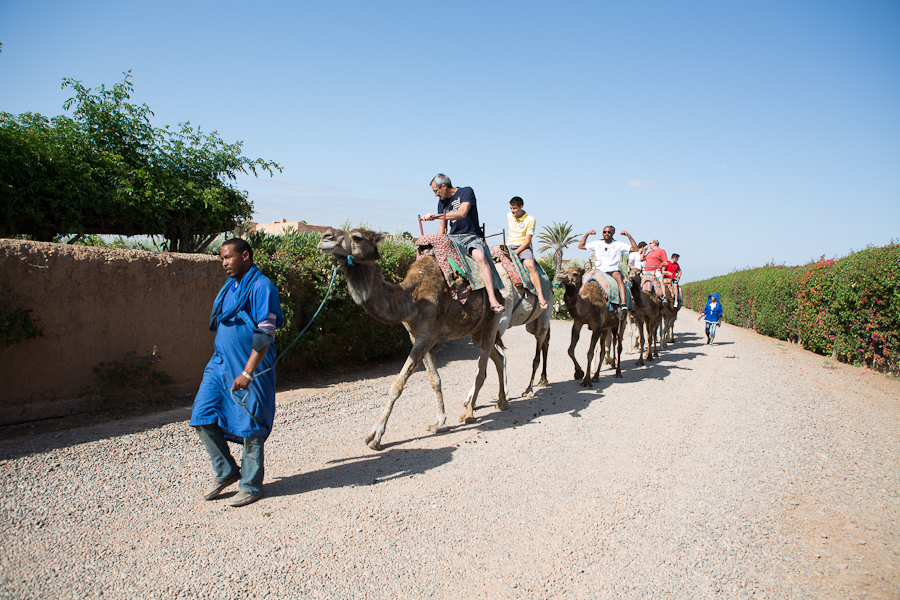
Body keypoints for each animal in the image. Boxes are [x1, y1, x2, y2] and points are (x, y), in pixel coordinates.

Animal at [322, 227, 510, 448]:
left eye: (357, 237)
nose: (325, 237)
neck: (411, 299)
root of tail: (499, 293)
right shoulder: (419, 337)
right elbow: (434, 380)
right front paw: (439, 423)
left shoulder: (425, 338)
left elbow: (397, 385)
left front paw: (375, 436)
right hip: (476, 332)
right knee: (497, 357)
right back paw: (502, 402)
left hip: (492, 322)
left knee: (481, 371)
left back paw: (469, 413)